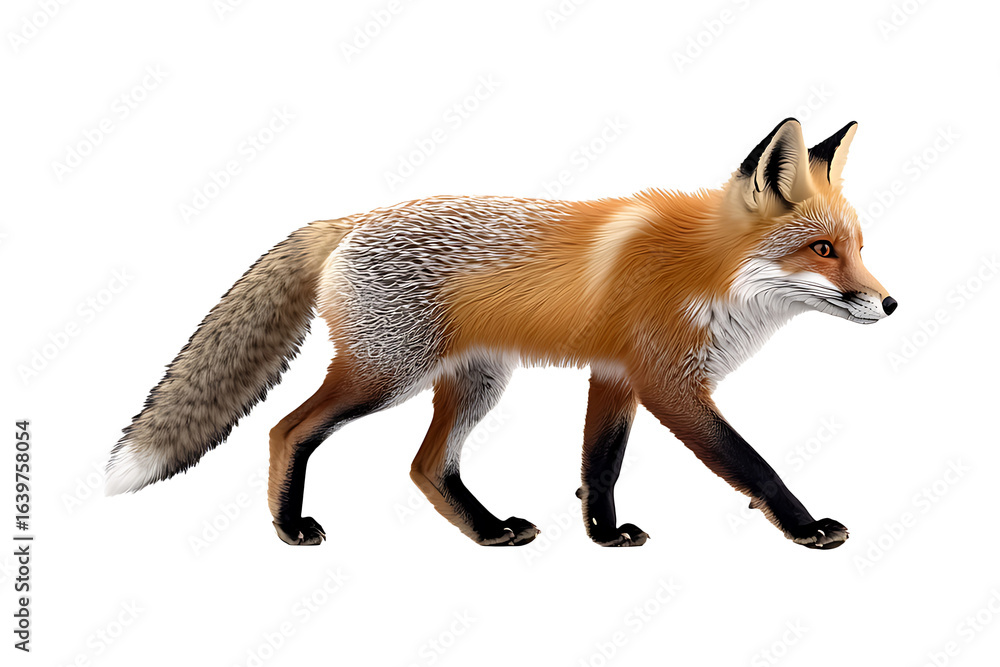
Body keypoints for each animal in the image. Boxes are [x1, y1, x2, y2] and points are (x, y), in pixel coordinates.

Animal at [107, 118, 895, 550]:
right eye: (823, 249)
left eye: (858, 247)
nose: (889, 304)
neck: (709, 273)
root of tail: (348, 219)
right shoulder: (669, 384)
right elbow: (755, 465)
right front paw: (805, 529)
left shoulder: (616, 376)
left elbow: (598, 467)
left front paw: (602, 535)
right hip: (388, 375)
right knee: (286, 429)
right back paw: (288, 527)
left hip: (477, 381)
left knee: (428, 466)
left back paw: (487, 532)